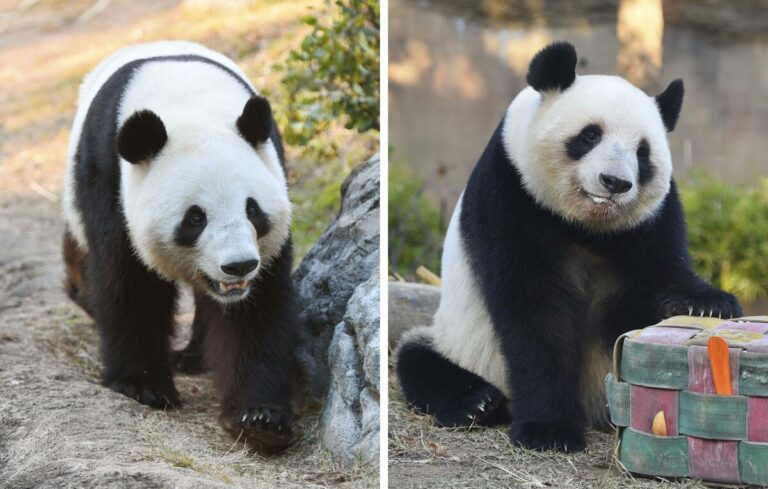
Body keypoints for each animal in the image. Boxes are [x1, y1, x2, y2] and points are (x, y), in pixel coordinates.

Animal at [62, 41, 297, 454]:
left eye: (252, 209)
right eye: (195, 218)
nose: (238, 266)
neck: (188, 101)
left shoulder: (272, 171)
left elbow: (257, 309)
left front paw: (260, 418)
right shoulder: (108, 179)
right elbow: (130, 282)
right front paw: (142, 386)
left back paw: (193, 357)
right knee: (81, 254)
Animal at [395, 42, 742, 452]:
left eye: (642, 153)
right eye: (590, 136)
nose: (615, 182)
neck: (587, 227)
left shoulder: (652, 221)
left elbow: (654, 281)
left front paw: (703, 304)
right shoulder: (512, 194)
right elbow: (535, 312)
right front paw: (549, 430)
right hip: (459, 341)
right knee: (416, 358)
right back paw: (476, 403)